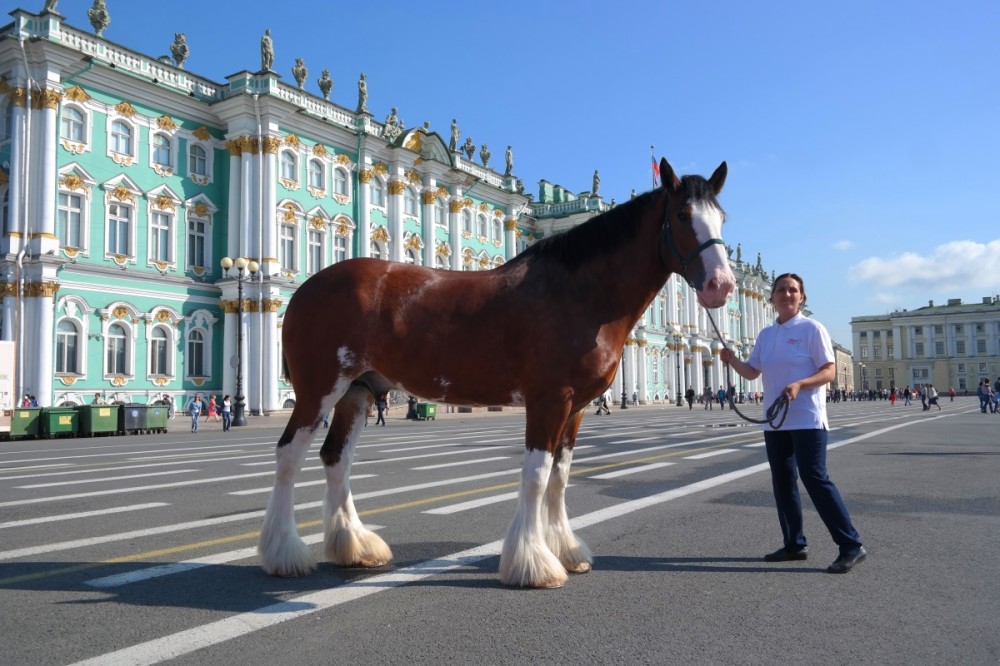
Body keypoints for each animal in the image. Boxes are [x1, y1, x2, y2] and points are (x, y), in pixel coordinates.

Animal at [258, 160, 736, 588]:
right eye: (682, 215)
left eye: (722, 218)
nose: (723, 285)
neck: (576, 293)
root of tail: (305, 286)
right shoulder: (548, 400)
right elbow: (536, 476)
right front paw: (534, 564)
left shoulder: (577, 408)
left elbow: (560, 476)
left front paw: (566, 550)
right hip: (318, 392)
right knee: (289, 457)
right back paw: (284, 554)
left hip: (357, 392)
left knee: (336, 458)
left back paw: (354, 547)